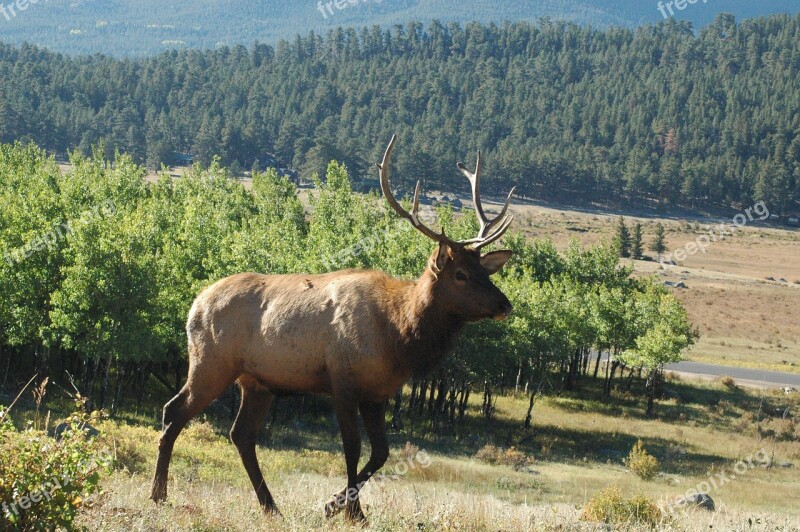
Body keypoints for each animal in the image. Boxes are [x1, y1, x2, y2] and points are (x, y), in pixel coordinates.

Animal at [149, 135, 516, 520]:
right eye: (460, 274)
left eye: (485, 270)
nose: (505, 305)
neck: (399, 338)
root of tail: (194, 304)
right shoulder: (343, 380)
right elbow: (352, 447)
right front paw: (352, 512)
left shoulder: (377, 393)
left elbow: (381, 452)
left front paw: (334, 505)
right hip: (211, 362)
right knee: (174, 411)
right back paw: (159, 494)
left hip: (257, 381)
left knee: (241, 434)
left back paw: (271, 507)